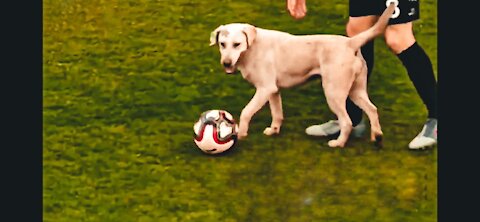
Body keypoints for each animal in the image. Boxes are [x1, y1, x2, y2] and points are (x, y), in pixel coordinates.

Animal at [210, 3, 394, 147]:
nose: (226, 63)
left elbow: (246, 111)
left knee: (347, 122)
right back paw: (376, 136)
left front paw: (241, 134)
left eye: (237, 44)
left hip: (333, 93)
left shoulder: (264, 89)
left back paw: (338, 143)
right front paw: (273, 130)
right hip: (356, 91)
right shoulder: (273, 90)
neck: (252, 47)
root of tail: (350, 42)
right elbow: (277, 114)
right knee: (372, 109)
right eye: (222, 44)